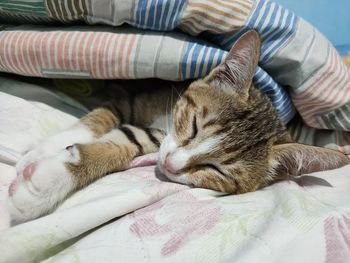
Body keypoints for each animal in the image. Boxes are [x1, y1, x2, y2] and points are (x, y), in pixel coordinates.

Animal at [8, 31, 350, 225]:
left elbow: (128, 141)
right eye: (195, 126)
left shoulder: (156, 139)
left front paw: (44, 183)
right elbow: (103, 116)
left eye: (217, 170)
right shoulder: (134, 99)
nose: (172, 164)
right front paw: (47, 147)